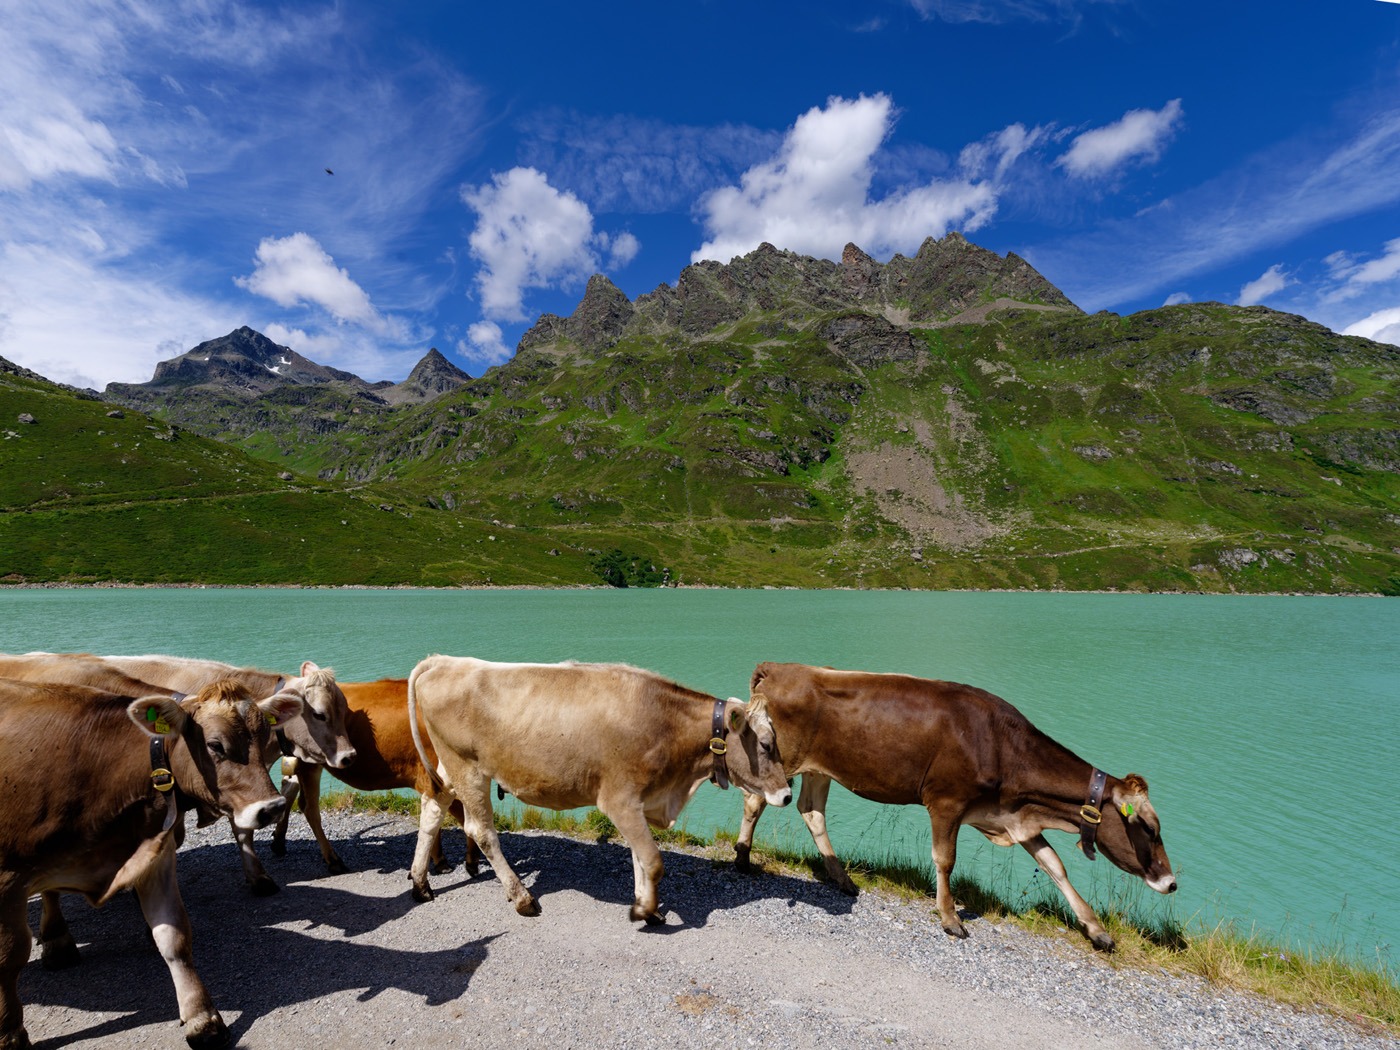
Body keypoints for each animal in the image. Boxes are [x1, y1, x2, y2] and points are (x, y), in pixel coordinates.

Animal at [0, 678, 303, 1050]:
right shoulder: (8, 878)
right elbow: (10, 956)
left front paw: (202, 1018)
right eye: (215, 745)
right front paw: (10, 1033)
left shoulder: (153, 857)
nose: (272, 808)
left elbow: (175, 936)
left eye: (264, 738)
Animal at [406, 656, 792, 924]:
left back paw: (420, 884)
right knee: (481, 830)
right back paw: (522, 898)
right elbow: (653, 861)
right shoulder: (619, 800)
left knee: (432, 808)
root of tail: (444, 660)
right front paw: (644, 911)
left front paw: (646, 904)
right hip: (467, 766)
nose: (787, 795)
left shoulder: (639, 802)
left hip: (447, 767)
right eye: (766, 745)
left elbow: (640, 858)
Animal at [734, 662, 1176, 950]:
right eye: (1149, 828)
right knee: (756, 799)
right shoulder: (947, 802)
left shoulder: (1016, 816)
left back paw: (840, 877)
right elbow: (945, 860)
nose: (1171, 882)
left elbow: (1056, 867)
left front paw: (1095, 929)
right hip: (782, 760)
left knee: (812, 811)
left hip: (819, 768)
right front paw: (950, 918)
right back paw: (742, 857)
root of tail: (780, 667)